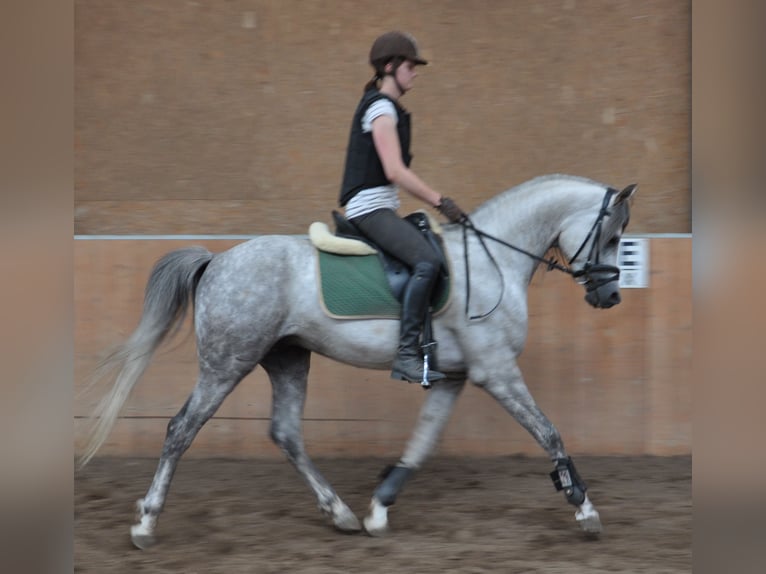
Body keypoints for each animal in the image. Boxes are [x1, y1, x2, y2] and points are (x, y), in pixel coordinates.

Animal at [78, 174, 636, 549]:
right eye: (611, 234)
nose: (609, 296)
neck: (493, 260)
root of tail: (217, 260)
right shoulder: (496, 372)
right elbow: (548, 432)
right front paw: (584, 508)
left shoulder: (454, 378)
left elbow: (422, 443)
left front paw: (380, 508)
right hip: (226, 364)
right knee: (181, 429)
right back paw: (146, 522)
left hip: (287, 359)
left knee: (286, 434)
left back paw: (340, 513)